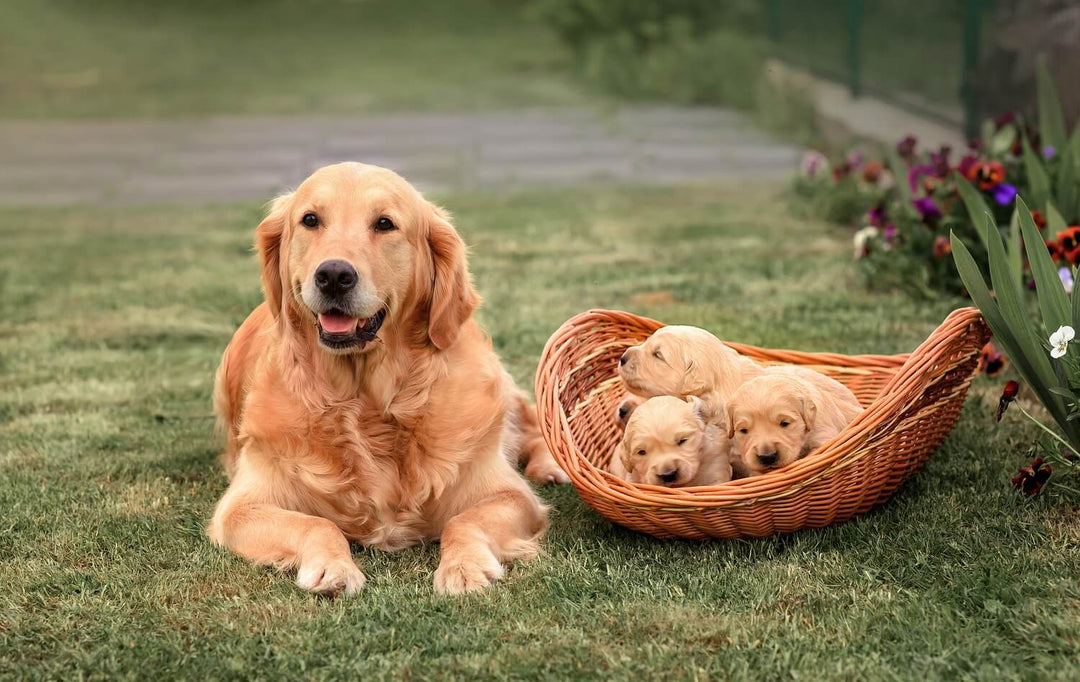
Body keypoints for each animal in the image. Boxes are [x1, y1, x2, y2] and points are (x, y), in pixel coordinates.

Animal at [205, 163, 570, 596]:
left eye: (384, 224)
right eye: (310, 220)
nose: (334, 274)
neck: (366, 406)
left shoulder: (510, 494)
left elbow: (463, 519)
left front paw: (464, 568)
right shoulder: (241, 507)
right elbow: (318, 523)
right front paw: (333, 567)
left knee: (533, 426)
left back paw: (552, 466)